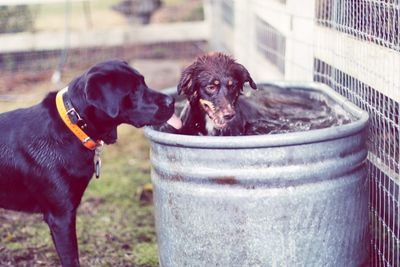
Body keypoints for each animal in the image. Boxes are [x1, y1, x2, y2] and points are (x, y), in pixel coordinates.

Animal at [0, 59, 175, 266]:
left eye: (144, 83)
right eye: (133, 90)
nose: (171, 101)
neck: (73, 124)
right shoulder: (61, 216)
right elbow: (71, 259)